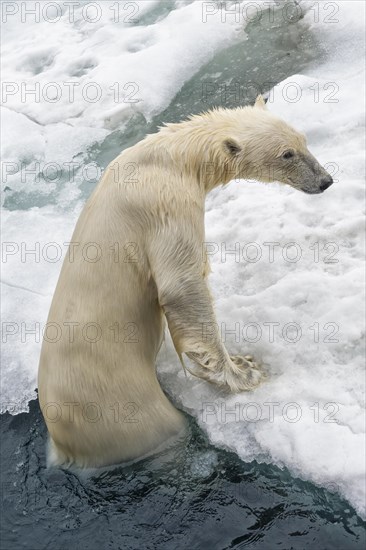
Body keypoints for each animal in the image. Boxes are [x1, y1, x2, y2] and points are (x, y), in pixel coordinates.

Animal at [38, 97, 334, 468]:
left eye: (303, 141)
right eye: (286, 154)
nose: (325, 180)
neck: (172, 157)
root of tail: (61, 443)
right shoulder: (166, 205)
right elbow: (182, 286)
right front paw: (244, 370)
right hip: (121, 409)